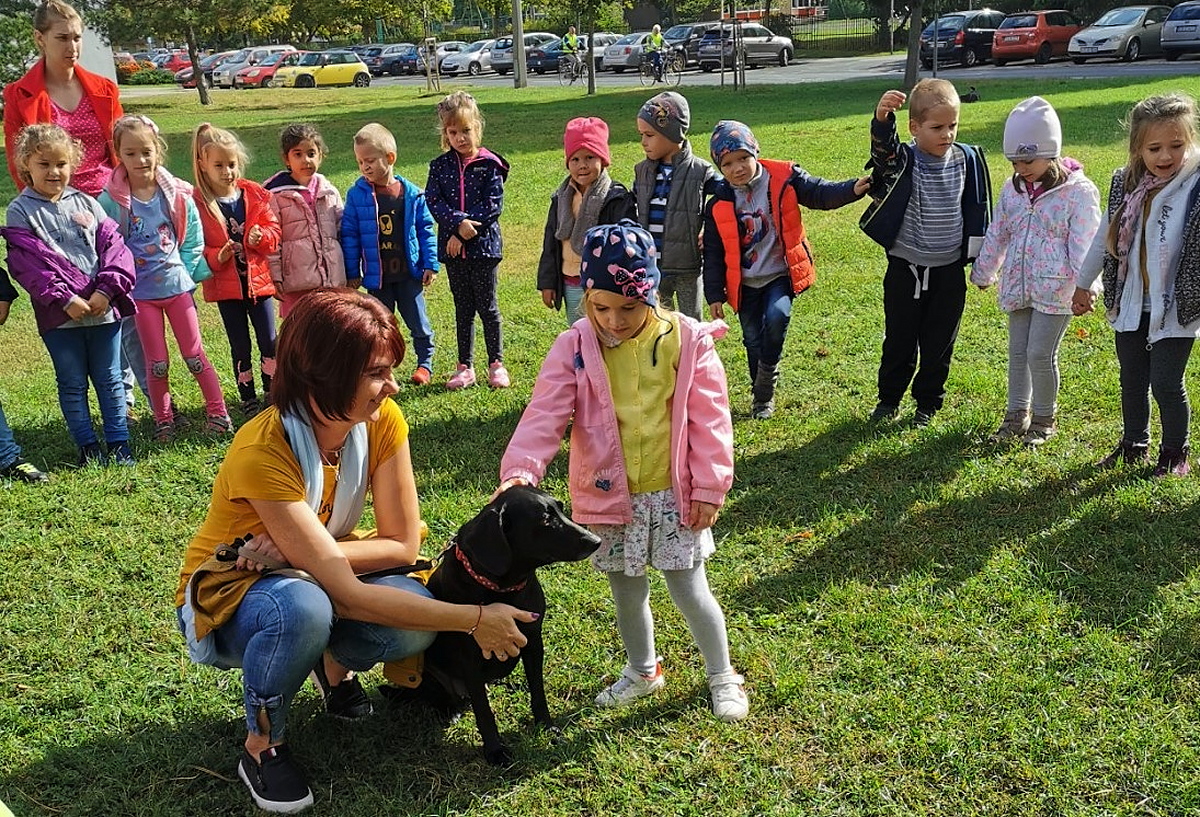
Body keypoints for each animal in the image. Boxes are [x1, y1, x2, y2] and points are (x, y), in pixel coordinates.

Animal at [418, 485, 601, 765]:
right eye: (545, 520)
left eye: (561, 508)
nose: (596, 541)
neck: (500, 587)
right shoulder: (470, 660)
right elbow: (484, 711)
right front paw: (495, 751)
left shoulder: (533, 641)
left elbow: (538, 692)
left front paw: (547, 727)